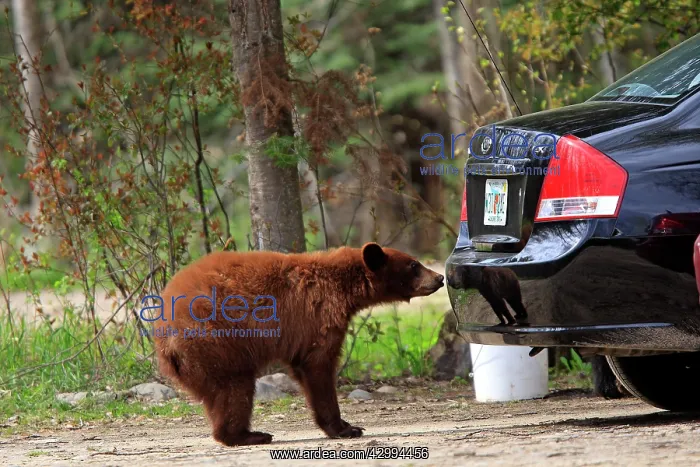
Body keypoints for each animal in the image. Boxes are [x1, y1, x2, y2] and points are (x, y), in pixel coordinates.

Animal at [152, 243, 444, 447]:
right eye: (414, 265)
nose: (439, 278)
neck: (342, 285)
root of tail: (164, 336)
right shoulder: (318, 317)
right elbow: (318, 366)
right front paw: (345, 428)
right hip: (217, 343)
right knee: (234, 389)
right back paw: (249, 435)